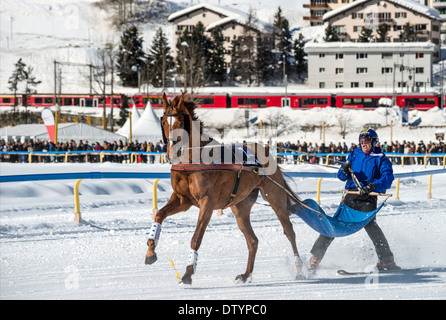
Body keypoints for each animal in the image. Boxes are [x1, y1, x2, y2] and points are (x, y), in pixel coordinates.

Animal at [145, 91, 304, 284]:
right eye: (163, 122)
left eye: (181, 121)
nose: (171, 153)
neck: (194, 161)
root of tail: (265, 151)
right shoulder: (183, 199)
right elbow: (159, 215)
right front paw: (150, 252)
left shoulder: (207, 202)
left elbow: (196, 238)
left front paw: (188, 272)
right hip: (240, 207)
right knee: (252, 241)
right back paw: (246, 274)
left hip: (275, 196)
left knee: (289, 231)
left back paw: (300, 269)